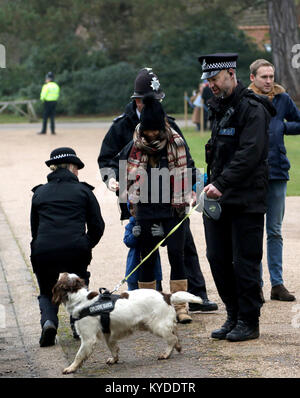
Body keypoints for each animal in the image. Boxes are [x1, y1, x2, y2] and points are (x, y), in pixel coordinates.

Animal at [52, 272, 204, 374]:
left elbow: (79, 356)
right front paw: (114, 360)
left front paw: (70, 368)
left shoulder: (88, 339)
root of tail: (166, 295)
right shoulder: (108, 334)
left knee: (172, 338)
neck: (81, 300)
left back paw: (165, 354)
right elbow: (113, 349)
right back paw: (177, 347)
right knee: (175, 334)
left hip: (157, 326)